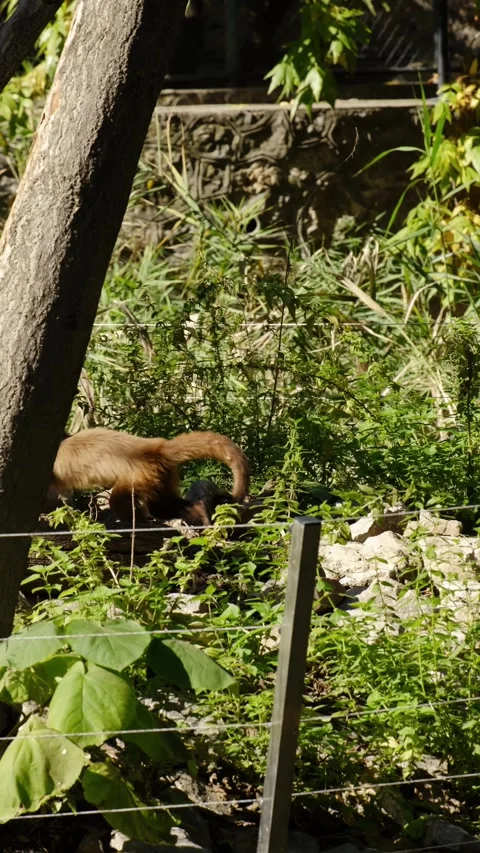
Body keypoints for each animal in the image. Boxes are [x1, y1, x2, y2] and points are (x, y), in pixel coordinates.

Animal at [48, 427, 250, 527]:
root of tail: (155, 447)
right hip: (162, 474)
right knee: (160, 505)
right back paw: (199, 512)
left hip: (140, 474)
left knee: (120, 500)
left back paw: (136, 522)